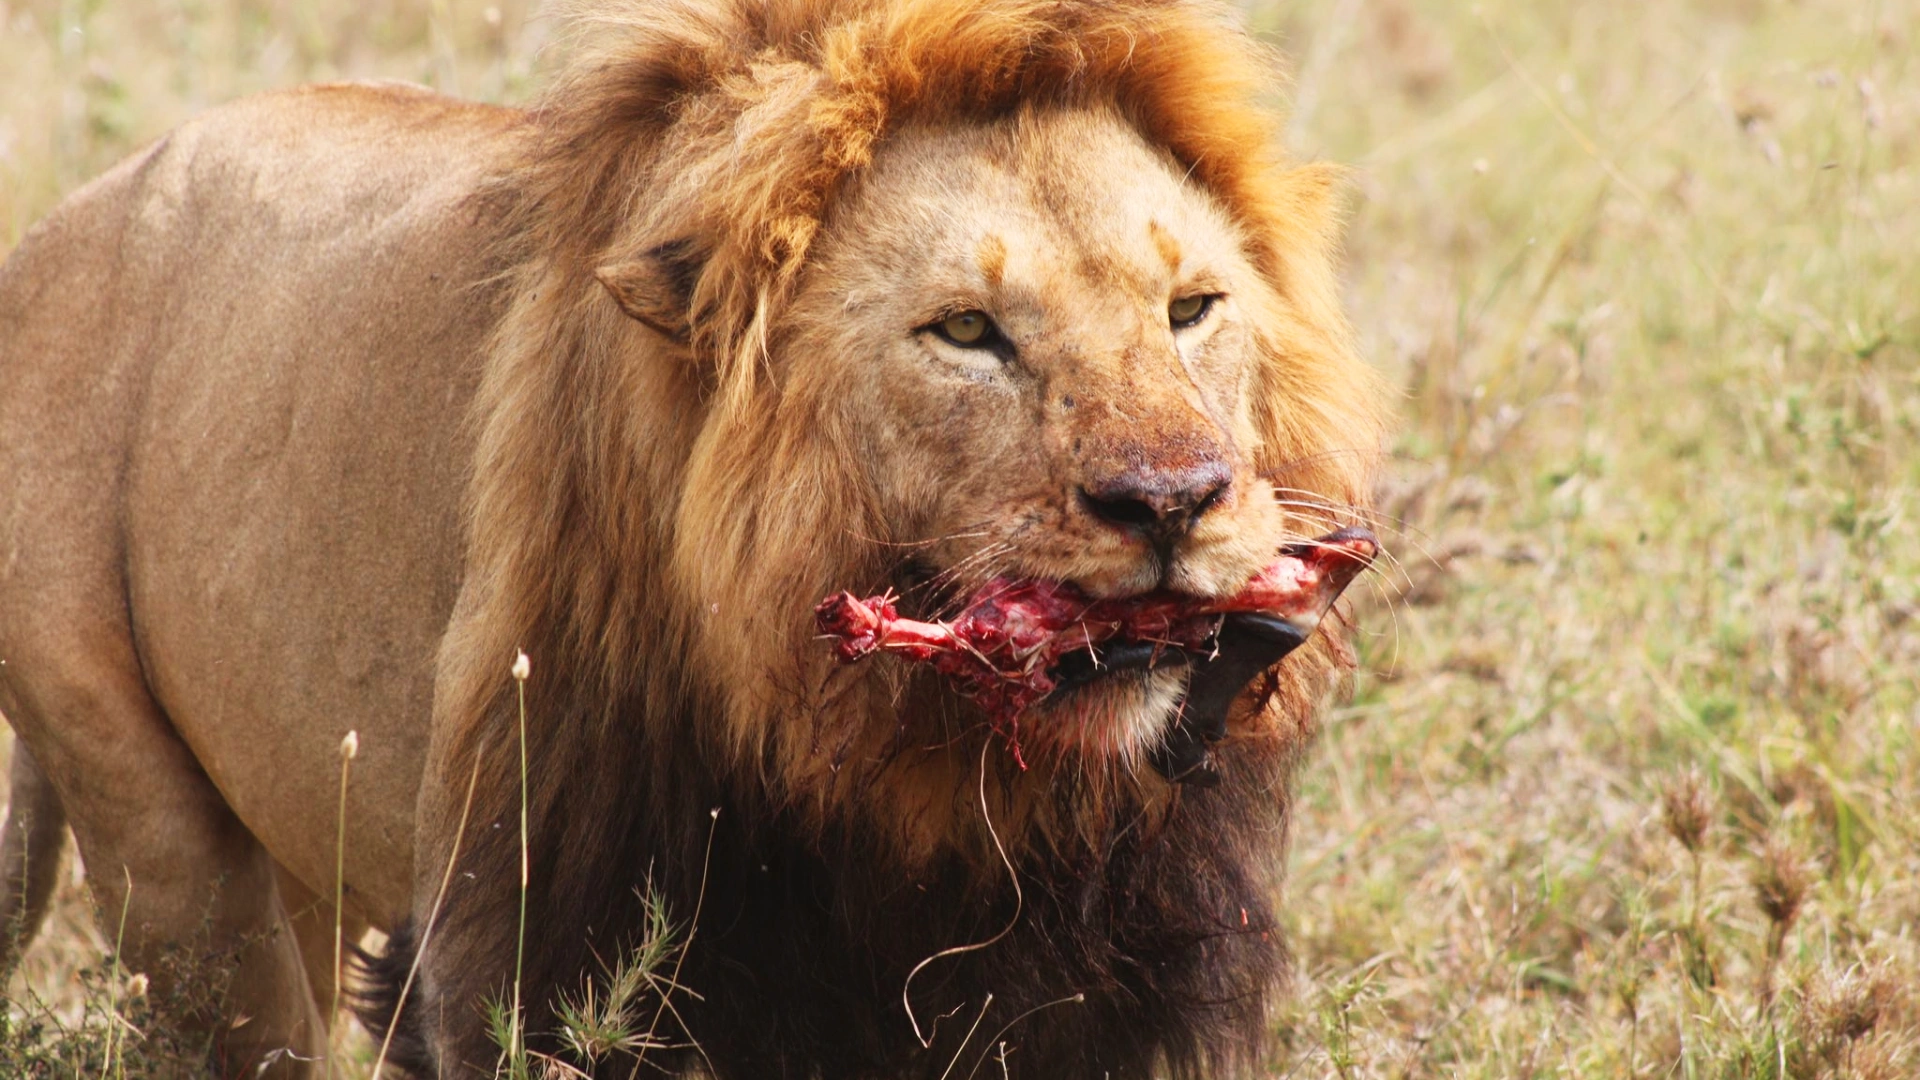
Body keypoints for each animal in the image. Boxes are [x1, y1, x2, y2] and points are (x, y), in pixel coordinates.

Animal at [0, 0, 1388, 1076]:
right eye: (966, 331)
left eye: (1193, 308)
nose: (1173, 502)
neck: (897, 771)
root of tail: (71, 215)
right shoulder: (528, 950)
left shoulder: (1094, 990)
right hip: (159, 837)